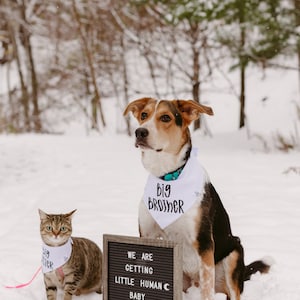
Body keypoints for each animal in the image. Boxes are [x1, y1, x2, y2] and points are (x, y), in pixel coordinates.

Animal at [123, 98, 270, 300]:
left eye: (165, 117)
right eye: (144, 115)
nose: (140, 132)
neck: (168, 177)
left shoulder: (204, 243)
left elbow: (207, 291)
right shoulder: (146, 235)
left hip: (234, 254)